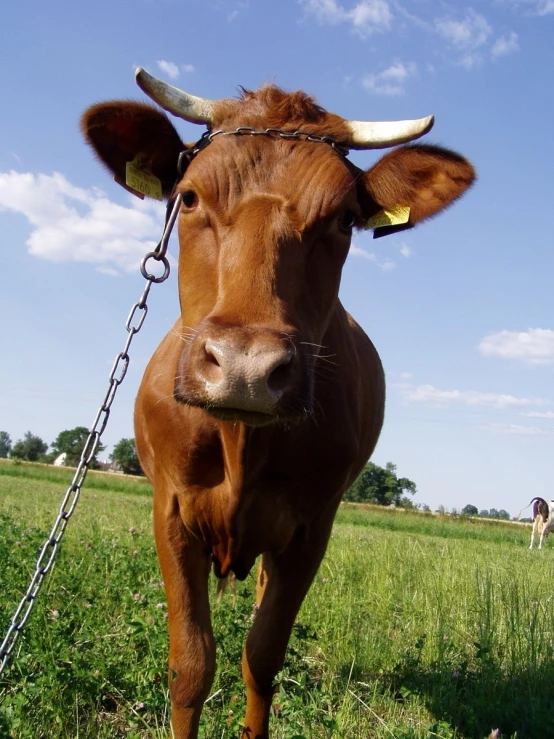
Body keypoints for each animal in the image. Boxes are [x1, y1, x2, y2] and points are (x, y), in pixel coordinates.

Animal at [82, 66, 474, 736]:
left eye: (343, 219)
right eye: (189, 197)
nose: (245, 367)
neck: (242, 441)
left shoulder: (312, 527)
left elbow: (262, 655)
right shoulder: (170, 511)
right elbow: (190, 665)